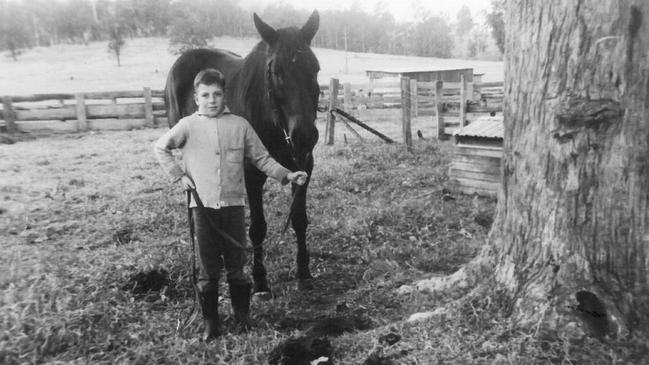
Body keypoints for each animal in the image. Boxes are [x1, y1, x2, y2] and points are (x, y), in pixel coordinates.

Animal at [165, 11, 322, 292]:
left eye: (315, 68)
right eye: (275, 71)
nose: (305, 136)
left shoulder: (303, 167)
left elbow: (299, 218)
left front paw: (303, 271)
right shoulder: (251, 173)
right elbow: (258, 227)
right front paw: (260, 280)